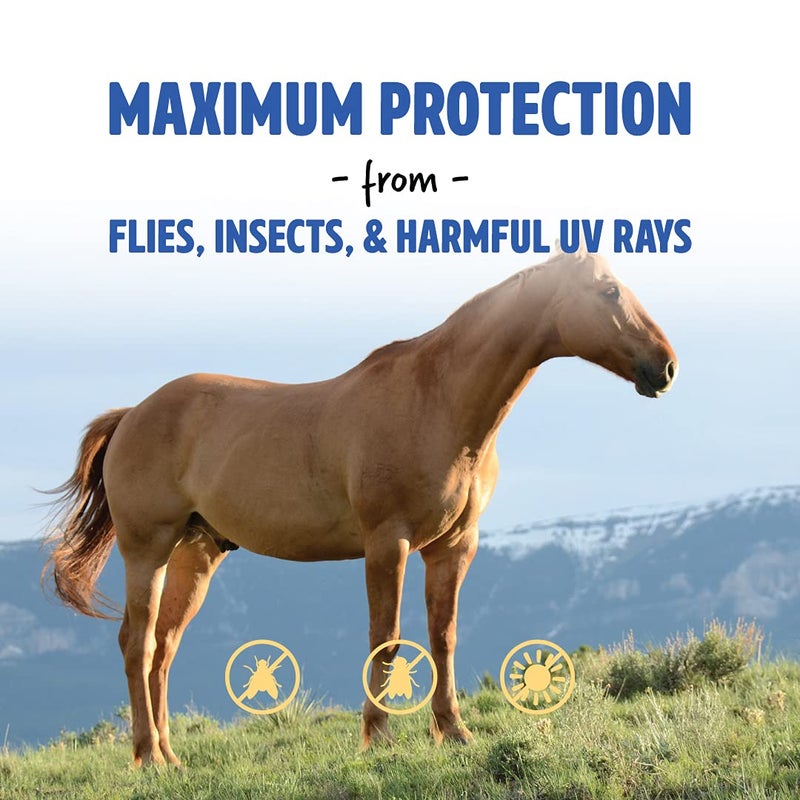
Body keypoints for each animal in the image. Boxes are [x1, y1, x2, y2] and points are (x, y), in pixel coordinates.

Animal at [43, 246, 677, 766]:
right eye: (609, 291)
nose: (666, 366)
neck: (437, 402)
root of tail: (133, 413)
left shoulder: (453, 547)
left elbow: (443, 636)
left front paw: (454, 731)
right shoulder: (387, 543)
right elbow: (386, 636)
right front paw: (379, 737)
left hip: (196, 554)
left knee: (164, 648)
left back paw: (171, 757)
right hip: (147, 549)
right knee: (138, 642)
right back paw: (148, 756)